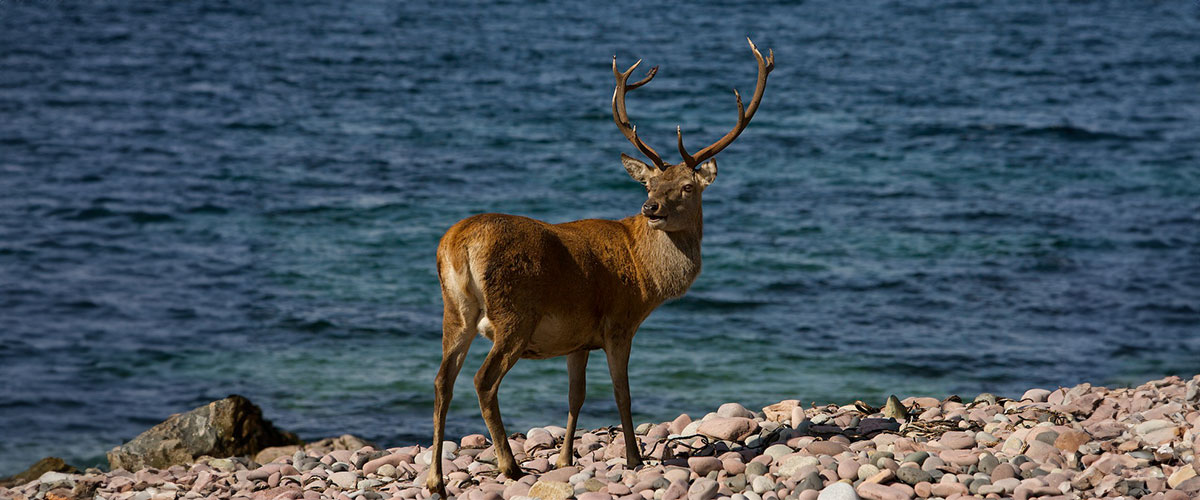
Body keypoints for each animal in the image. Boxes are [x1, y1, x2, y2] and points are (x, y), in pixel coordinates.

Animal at [426, 38, 773, 496]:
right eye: (650, 184)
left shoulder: (577, 340)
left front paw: (564, 458)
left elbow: (576, 396)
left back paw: (436, 479)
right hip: (514, 313)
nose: (650, 208)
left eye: (686, 186)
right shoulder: (618, 322)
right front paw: (634, 457)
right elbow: (622, 392)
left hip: (455, 311)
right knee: (483, 381)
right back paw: (509, 466)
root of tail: (459, 244)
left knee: (441, 381)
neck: (646, 277)